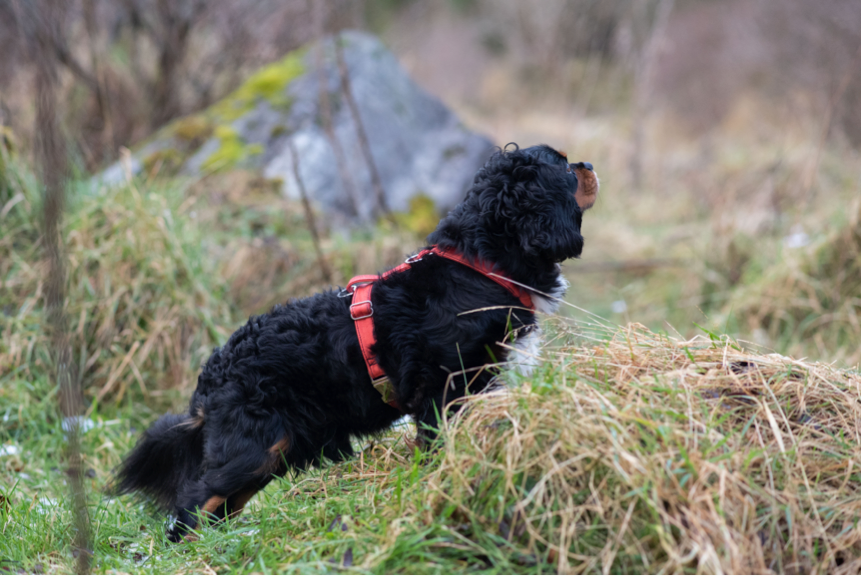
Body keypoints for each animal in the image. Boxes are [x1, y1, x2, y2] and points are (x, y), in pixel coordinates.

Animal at [113, 143, 600, 540]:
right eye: (565, 167)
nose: (590, 164)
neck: (479, 266)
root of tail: (212, 374)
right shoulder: (444, 392)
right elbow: (440, 447)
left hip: (273, 452)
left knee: (220, 507)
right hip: (254, 448)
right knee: (194, 503)